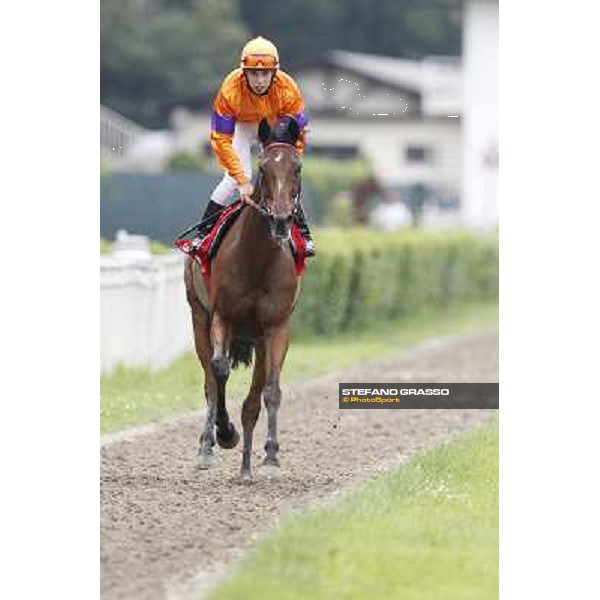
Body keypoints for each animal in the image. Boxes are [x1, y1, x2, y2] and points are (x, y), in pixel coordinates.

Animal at [183, 117, 302, 480]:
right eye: (263, 168)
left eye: (298, 167)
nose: (281, 220)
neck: (257, 259)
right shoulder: (223, 316)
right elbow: (219, 371)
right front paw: (224, 433)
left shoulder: (277, 326)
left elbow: (271, 390)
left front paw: (271, 459)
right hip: (199, 317)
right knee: (209, 380)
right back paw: (208, 446)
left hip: (259, 339)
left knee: (252, 400)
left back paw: (247, 465)